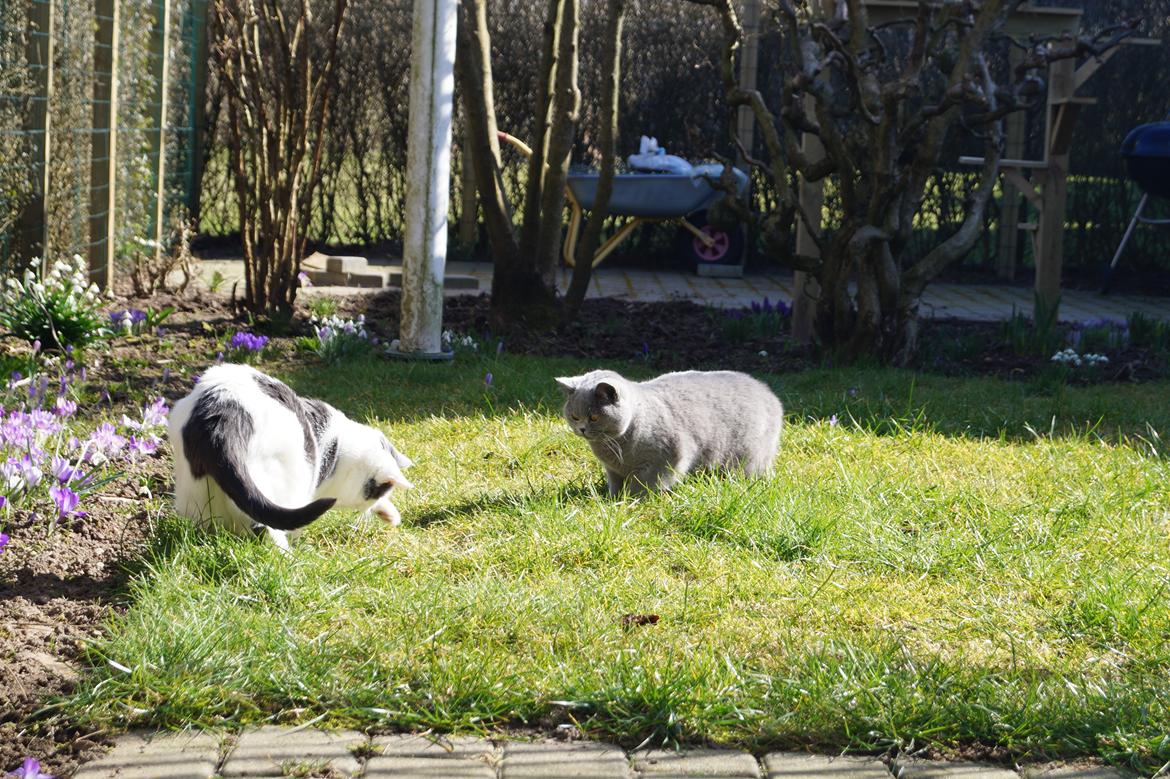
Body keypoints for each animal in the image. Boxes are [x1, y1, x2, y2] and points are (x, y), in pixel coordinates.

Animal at [168, 362, 416, 549]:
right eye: (377, 491)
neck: (336, 449)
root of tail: (222, 415)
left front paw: (389, 513)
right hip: (282, 476)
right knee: (270, 524)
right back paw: (288, 557)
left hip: (196, 496)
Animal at [556, 369, 786, 491]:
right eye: (574, 416)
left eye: (594, 417)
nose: (582, 429)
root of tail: (768, 392)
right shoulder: (613, 470)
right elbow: (616, 484)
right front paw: (614, 499)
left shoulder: (666, 459)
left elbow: (645, 484)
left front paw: (632, 501)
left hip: (747, 456)